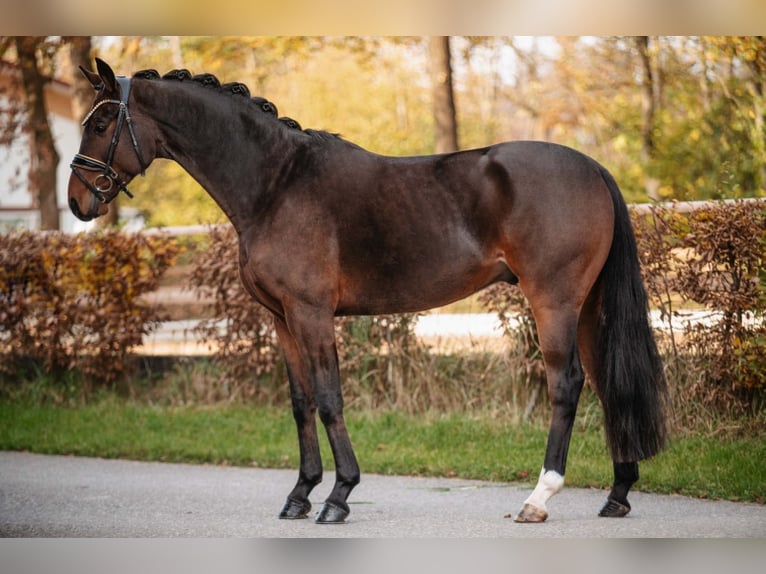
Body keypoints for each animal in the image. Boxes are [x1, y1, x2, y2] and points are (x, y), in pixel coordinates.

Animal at [67, 59, 664, 528]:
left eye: (101, 122)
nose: (77, 200)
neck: (277, 184)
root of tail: (592, 166)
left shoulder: (311, 313)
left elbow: (330, 399)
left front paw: (339, 495)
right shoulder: (281, 318)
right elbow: (301, 402)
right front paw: (300, 494)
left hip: (553, 302)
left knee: (567, 384)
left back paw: (539, 498)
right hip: (586, 306)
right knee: (607, 382)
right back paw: (617, 494)